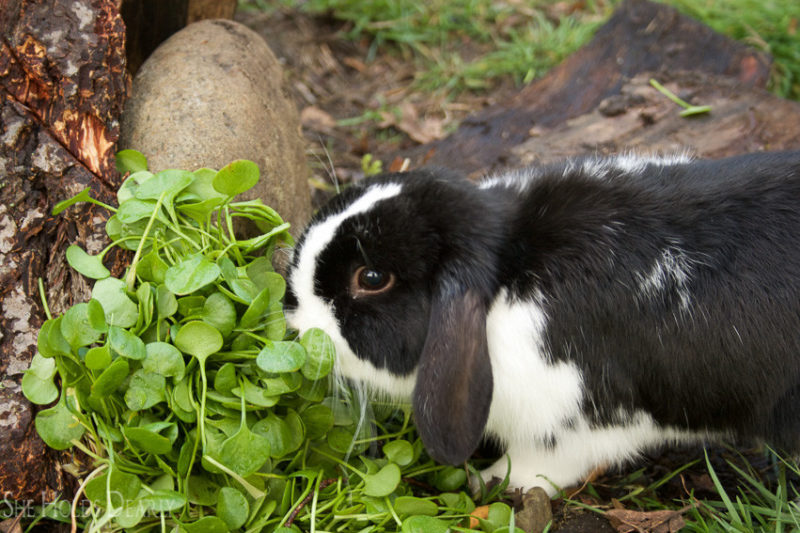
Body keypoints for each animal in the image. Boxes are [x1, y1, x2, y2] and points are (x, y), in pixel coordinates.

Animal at [288, 150, 800, 494]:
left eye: (371, 278)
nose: (292, 315)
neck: (509, 272)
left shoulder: (579, 424)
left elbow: (537, 467)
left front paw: (487, 482)